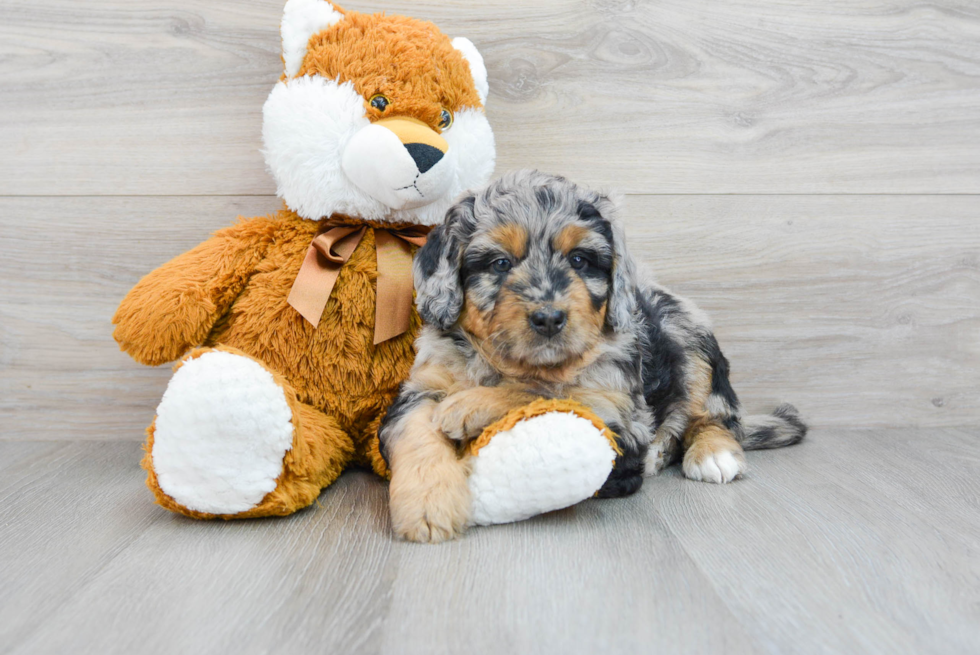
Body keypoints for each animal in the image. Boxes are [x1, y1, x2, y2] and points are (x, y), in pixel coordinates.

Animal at [378, 169, 808, 544]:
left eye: (579, 260)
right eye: (500, 263)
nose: (549, 318)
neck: (510, 364)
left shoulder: (622, 412)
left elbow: (551, 391)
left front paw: (466, 406)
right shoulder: (423, 384)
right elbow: (415, 431)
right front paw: (429, 506)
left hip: (692, 340)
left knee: (717, 414)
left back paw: (711, 453)